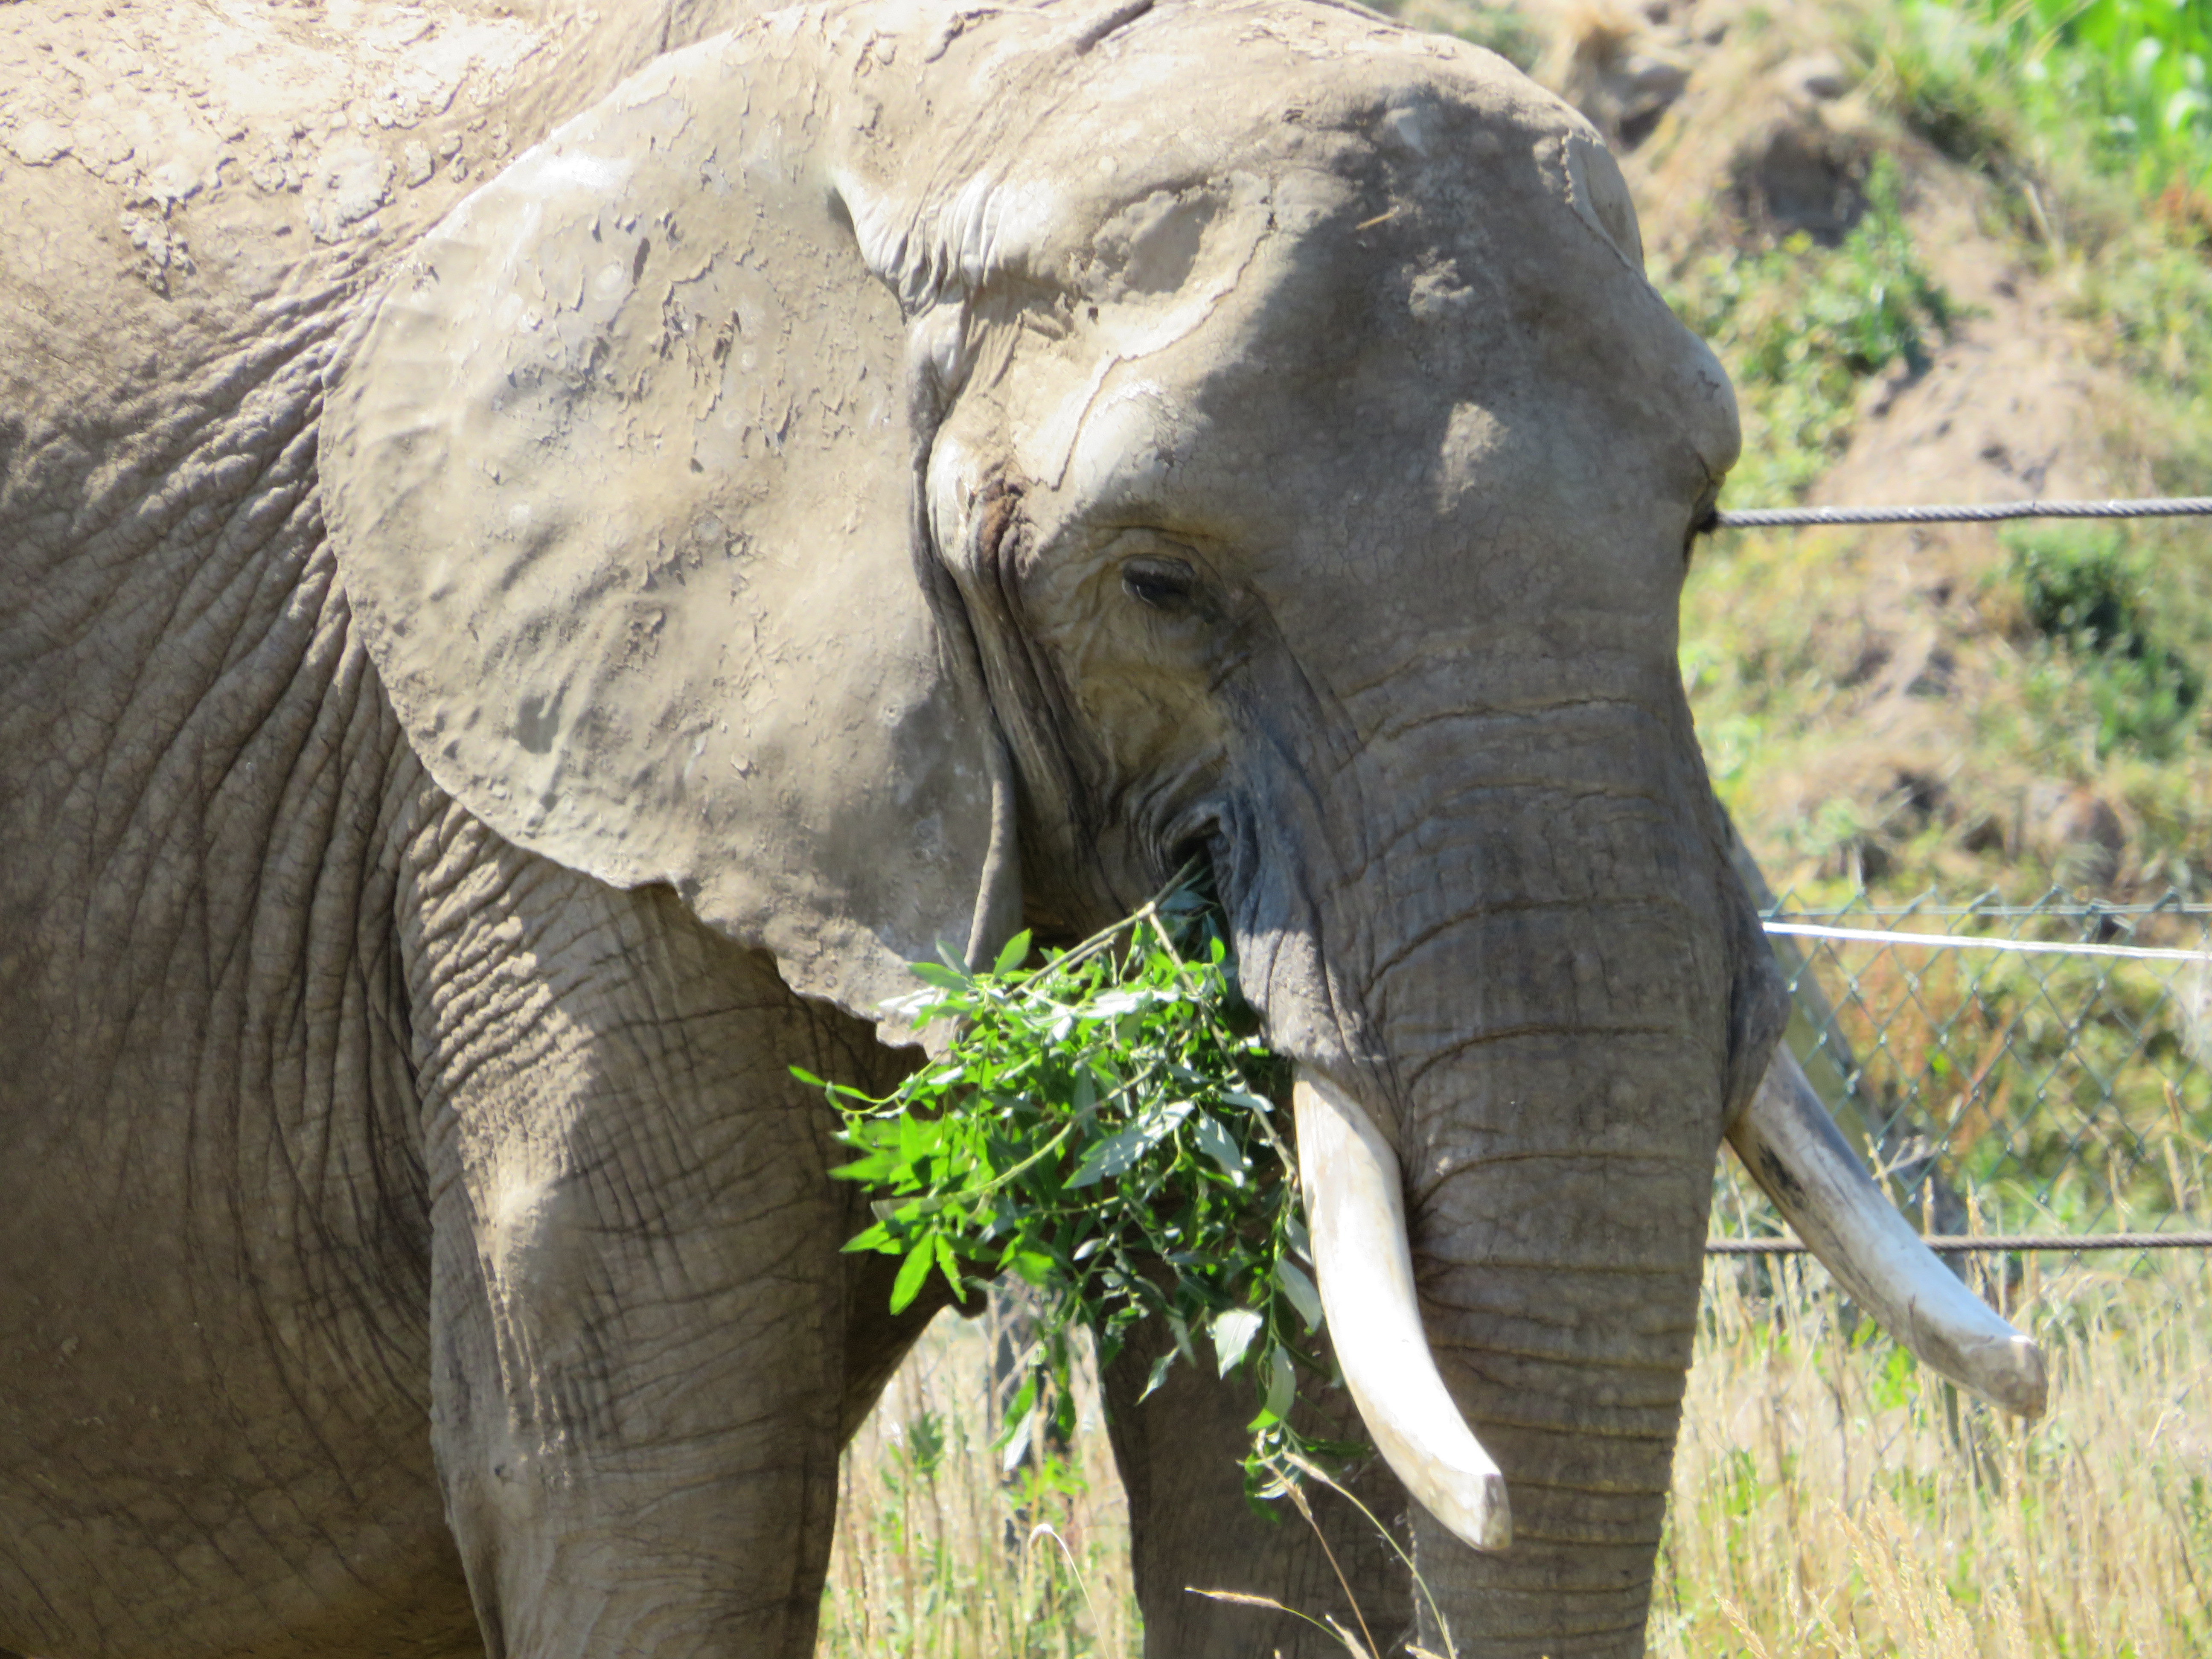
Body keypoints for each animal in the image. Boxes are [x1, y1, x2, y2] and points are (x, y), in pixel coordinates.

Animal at [0, 1, 2046, 1656]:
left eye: (1697, 526)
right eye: (1158, 583)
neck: (952, 102)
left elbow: (1272, 1438)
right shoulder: (526, 770)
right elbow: (647, 1472)